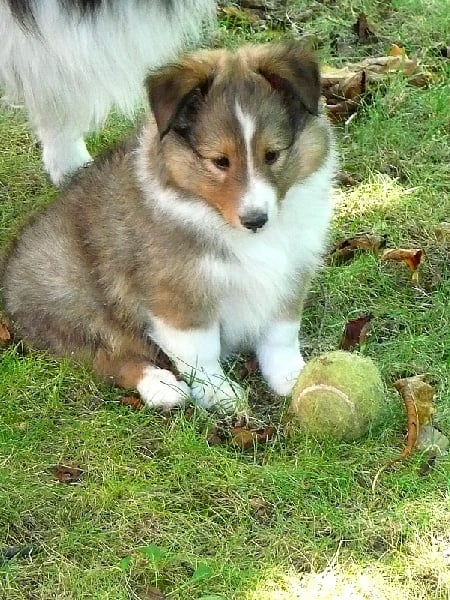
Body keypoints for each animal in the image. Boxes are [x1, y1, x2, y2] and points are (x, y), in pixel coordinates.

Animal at [1, 41, 336, 412]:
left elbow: (281, 333)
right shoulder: (178, 294)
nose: (255, 220)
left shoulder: (291, 272)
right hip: (76, 303)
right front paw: (220, 394)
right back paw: (161, 386)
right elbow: (201, 351)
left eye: (273, 154)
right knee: (108, 356)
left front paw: (294, 378)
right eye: (220, 161)